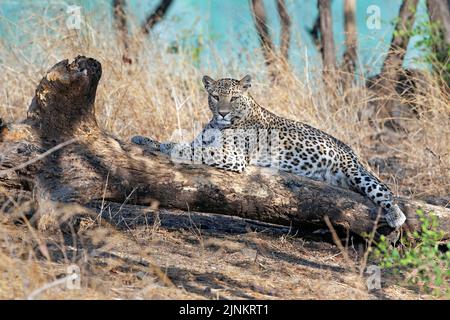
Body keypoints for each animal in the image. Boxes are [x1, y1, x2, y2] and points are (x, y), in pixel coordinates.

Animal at [131, 75, 408, 229]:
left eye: (233, 98)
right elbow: (183, 142)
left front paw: (171, 147)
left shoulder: (233, 157)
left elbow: (194, 149)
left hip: (357, 173)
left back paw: (396, 216)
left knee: (386, 192)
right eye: (215, 96)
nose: (222, 113)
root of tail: (351, 151)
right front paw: (144, 138)